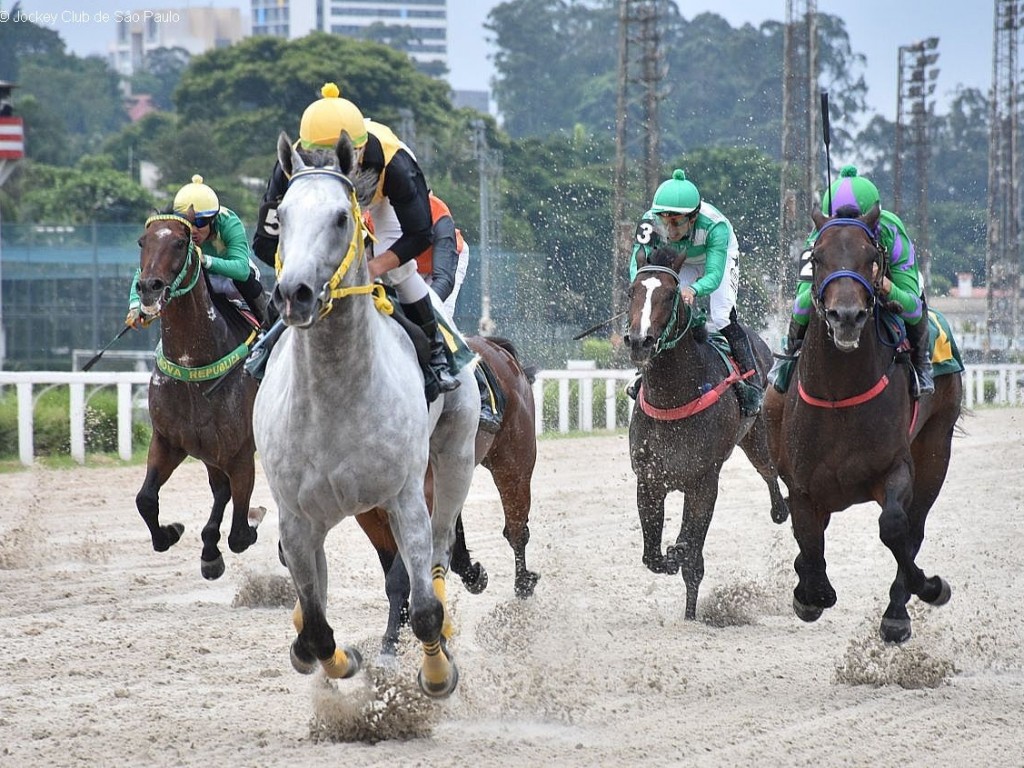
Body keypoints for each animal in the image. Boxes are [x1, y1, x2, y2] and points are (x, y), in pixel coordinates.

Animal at [132, 210, 262, 577]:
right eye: (142, 242)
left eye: (179, 242)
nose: (149, 287)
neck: (193, 368)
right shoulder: (168, 441)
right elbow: (145, 499)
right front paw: (171, 533)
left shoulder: (241, 452)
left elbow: (240, 534)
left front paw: (254, 520)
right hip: (209, 453)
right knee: (220, 492)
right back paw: (209, 550)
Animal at [253, 131, 481, 696]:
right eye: (281, 215)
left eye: (341, 217)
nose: (293, 294)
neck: (333, 398)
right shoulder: (297, 517)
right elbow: (315, 626)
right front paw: (340, 660)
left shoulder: (403, 496)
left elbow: (422, 608)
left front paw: (437, 674)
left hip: (454, 458)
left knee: (440, 549)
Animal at [354, 335, 540, 663]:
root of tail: (496, 347)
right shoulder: (369, 515)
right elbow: (393, 575)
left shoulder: (420, 496)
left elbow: (400, 576)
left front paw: (391, 645)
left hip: (514, 462)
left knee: (516, 530)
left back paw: (522, 584)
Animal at [618, 249, 786, 622]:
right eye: (632, 291)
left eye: (670, 295)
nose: (639, 341)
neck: (673, 397)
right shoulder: (649, 479)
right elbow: (652, 555)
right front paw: (671, 557)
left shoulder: (704, 481)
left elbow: (692, 556)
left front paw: (691, 609)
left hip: (755, 435)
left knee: (770, 472)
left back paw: (780, 509)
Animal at [765, 204, 962, 643]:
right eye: (816, 258)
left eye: (871, 257)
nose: (847, 316)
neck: (840, 396)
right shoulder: (801, 484)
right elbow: (808, 539)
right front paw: (810, 592)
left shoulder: (895, 467)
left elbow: (894, 527)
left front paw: (928, 588)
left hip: (936, 447)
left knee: (914, 527)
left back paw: (898, 610)